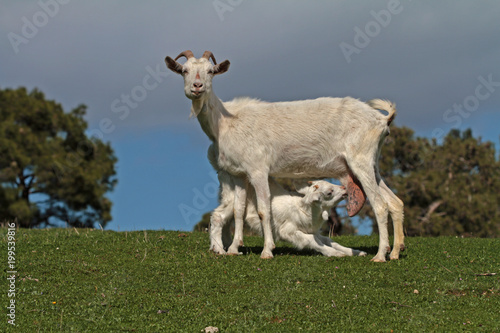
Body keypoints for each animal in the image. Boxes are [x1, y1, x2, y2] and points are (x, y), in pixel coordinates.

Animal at [166, 50, 404, 262]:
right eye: (184, 71)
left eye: (211, 71)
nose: (197, 87)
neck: (225, 122)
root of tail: (382, 120)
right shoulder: (238, 174)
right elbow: (239, 210)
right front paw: (234, 249)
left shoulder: (258, 170)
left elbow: (264, 210)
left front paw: (267, 251)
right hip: (372, 165)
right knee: (395, 202)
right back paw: (395, 252)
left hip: (360, 160)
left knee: (380, 205)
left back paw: (380, 256)